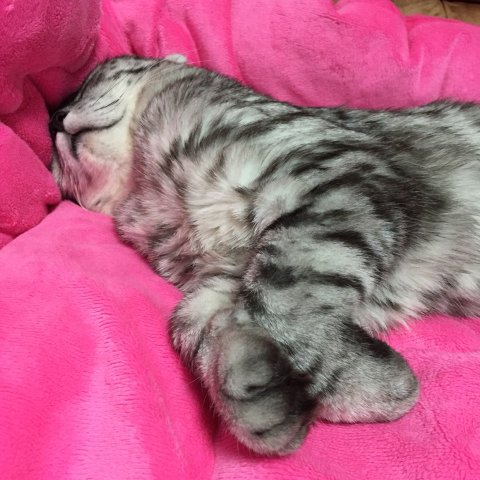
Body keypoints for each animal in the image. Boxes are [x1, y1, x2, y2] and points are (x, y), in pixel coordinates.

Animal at [50, 54, 480, 455]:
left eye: (87, 85)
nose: (55, 119)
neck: (147, 186)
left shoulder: (340, 179)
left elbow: (279, 305)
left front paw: (383, 387)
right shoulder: (218, 280)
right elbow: (200, 330)